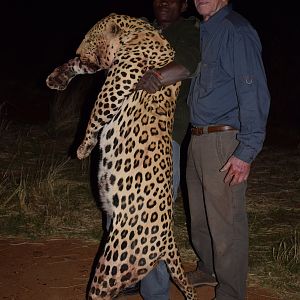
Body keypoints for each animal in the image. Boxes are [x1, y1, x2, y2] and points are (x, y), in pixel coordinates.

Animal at [46, 13, 197, 300]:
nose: (78, 51)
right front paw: (58, 77)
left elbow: (97, 111)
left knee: (99, 290)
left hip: (115, 261)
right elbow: (82, 69)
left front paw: (83, 148)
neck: (138, 30)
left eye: (88, 38)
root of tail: (169, 238)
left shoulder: (119, 81)